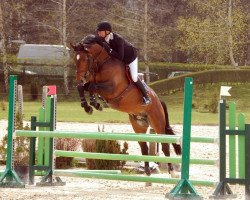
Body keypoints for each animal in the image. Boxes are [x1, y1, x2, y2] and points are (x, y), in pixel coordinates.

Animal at [71, 34, 182, 178]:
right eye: (75, 59)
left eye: (84, 59)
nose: (79, 78)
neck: (102, 63)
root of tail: (158, 101)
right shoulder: (92, 83)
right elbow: (83, 87)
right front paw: (88, 106)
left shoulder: (112, 89)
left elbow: (92, 87)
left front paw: (94, 104)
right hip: (138, 125)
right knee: (144, 147)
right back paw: (147, 172)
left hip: (158, 123)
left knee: (164, 145)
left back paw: (172, 172)